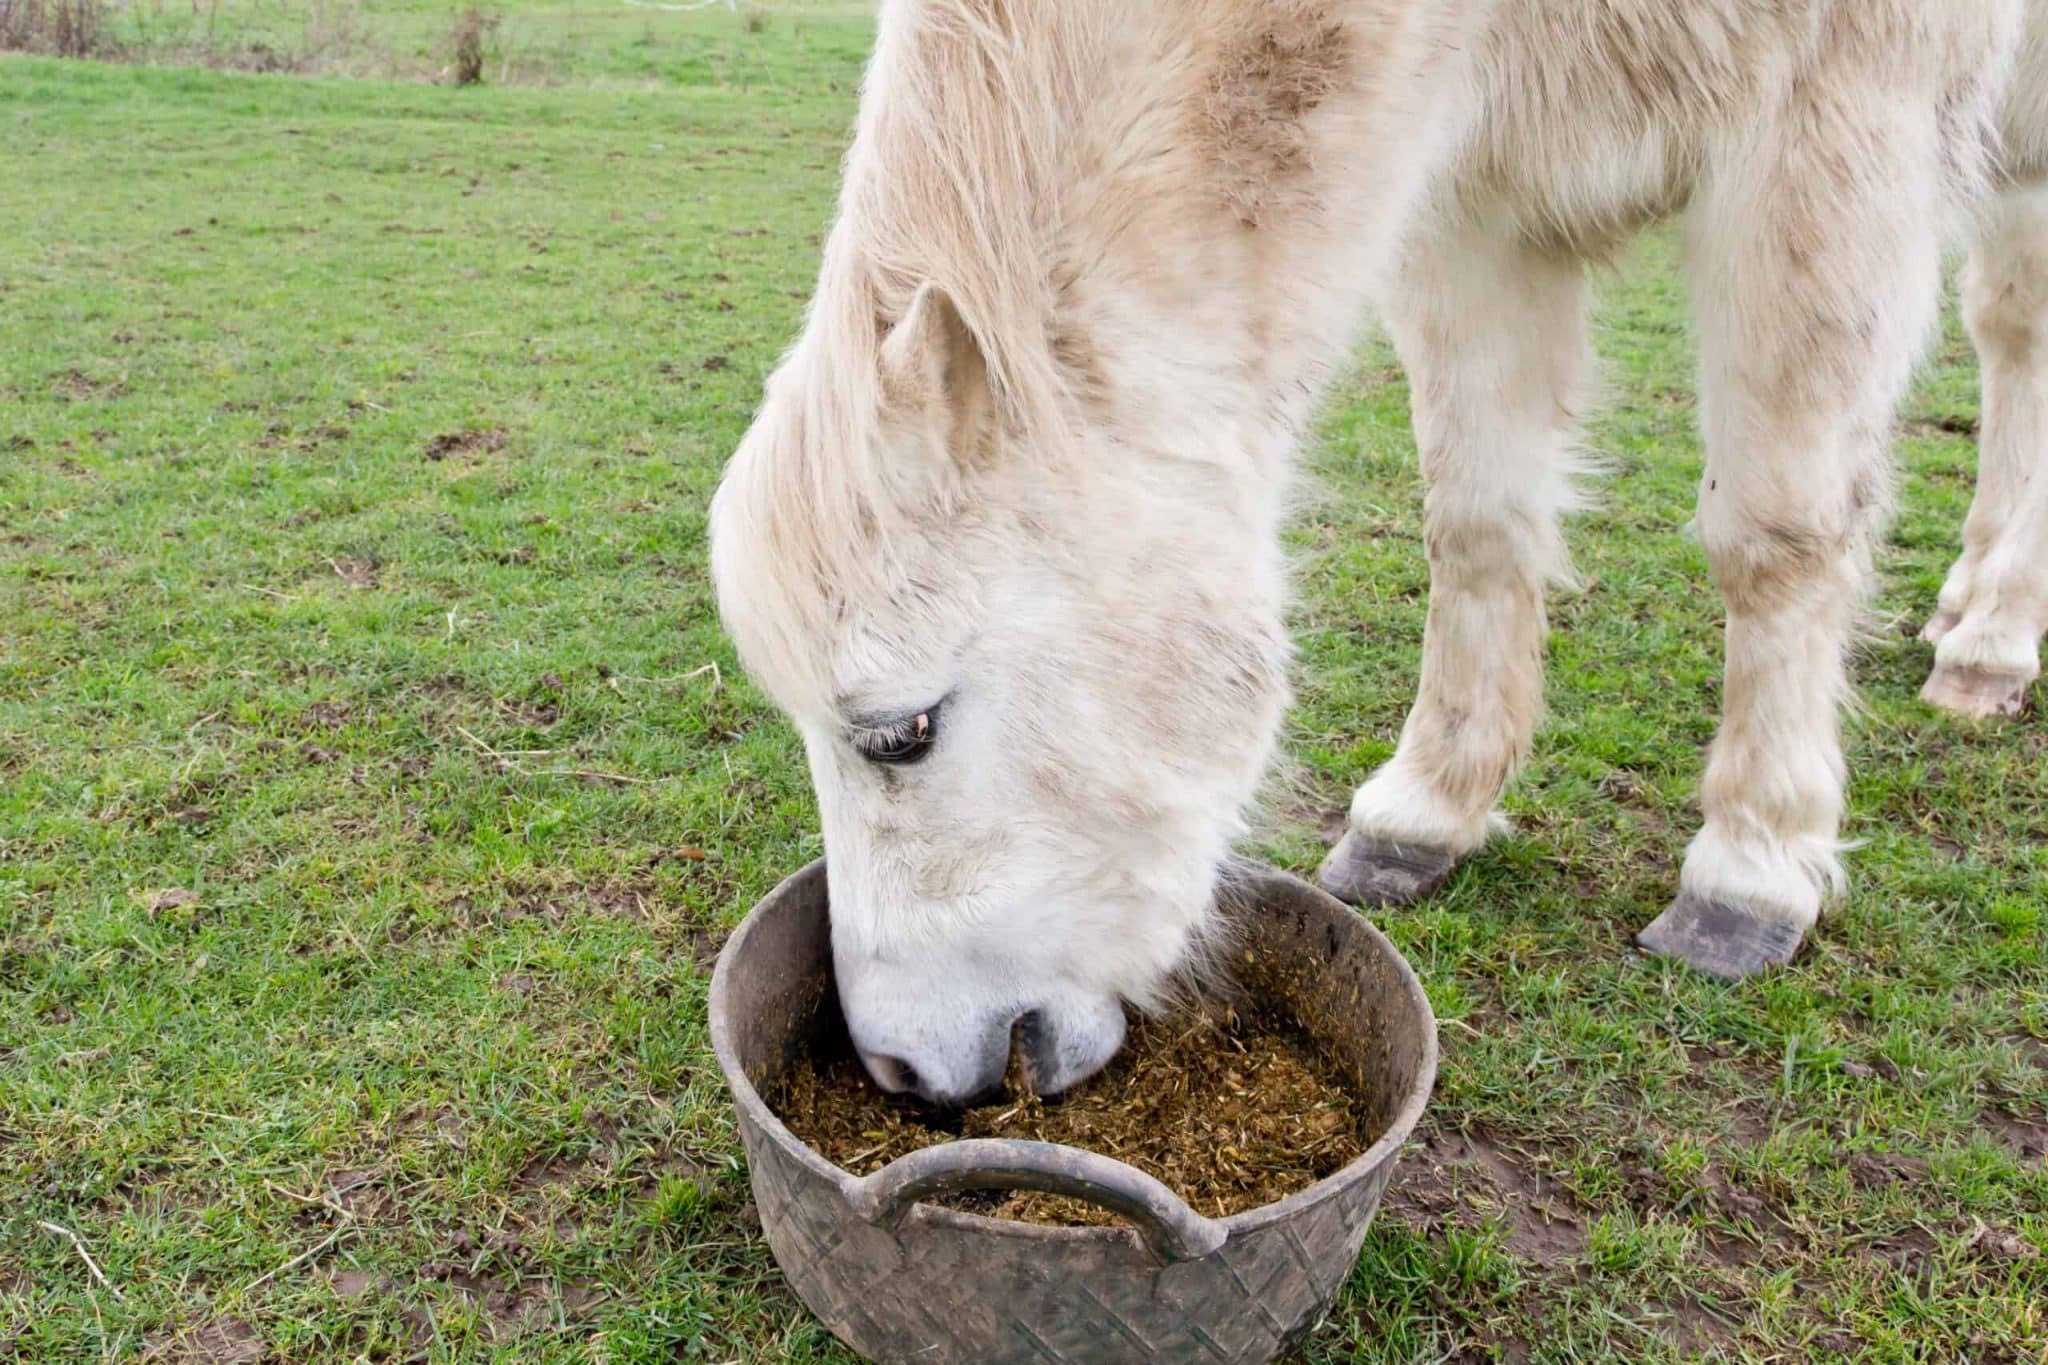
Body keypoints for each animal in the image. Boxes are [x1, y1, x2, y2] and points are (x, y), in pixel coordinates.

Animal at [712, 0, 2039, 1105]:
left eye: (903, 733)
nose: (894, 1069)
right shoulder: (1480, 201)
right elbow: (1477, 518)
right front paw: (1425, 814)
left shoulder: (1829, 128)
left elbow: (1775, 534)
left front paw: (1749, 868)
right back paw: (1967, 608)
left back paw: (1988, 644)